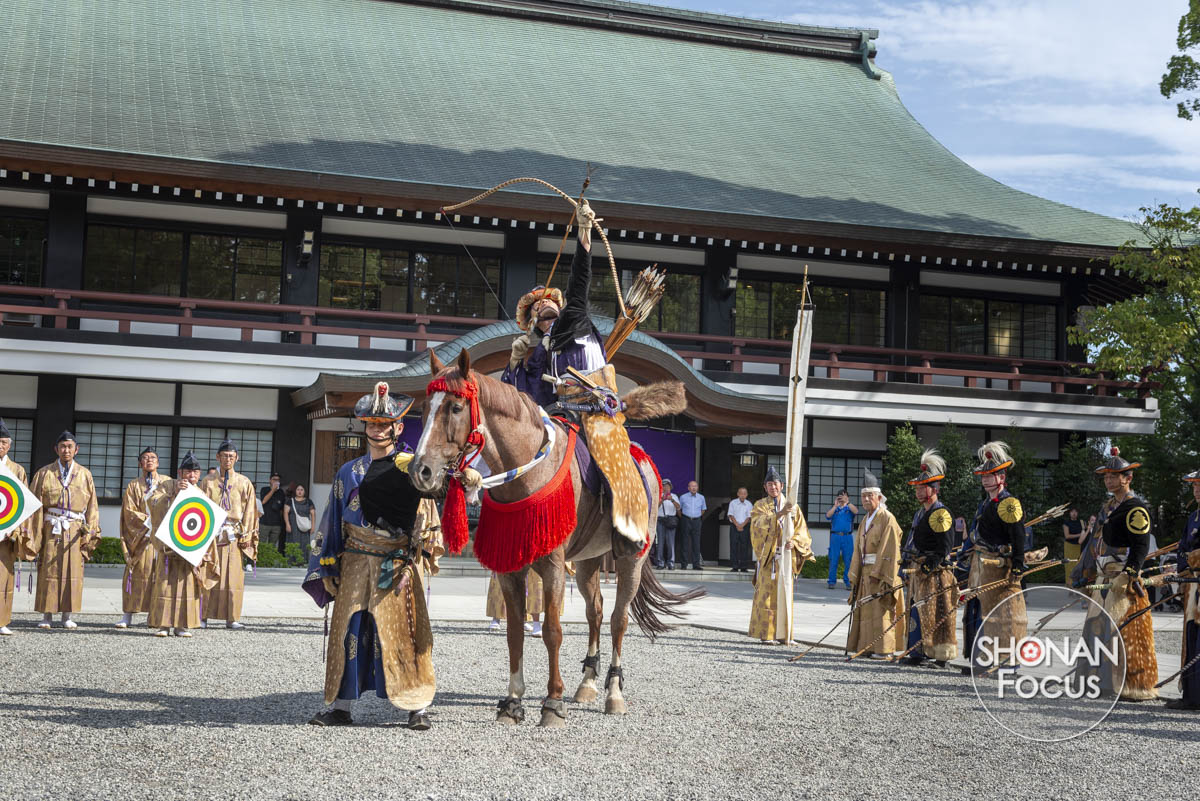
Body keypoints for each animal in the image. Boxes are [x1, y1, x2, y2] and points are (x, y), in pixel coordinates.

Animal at [410, 347, 700, 724]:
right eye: (425, 407)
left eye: (455, 407)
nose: (420, 470)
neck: (525, 472)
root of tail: (643, 458)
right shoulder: (510, 565)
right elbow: (514, 632)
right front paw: (512, 702)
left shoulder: (552, 563)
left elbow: (552, 630)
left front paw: (553, 702)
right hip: (590, 559)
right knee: (595, 612)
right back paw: (587, 683)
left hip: (632, 553)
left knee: (619, 619)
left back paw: (613, 692)